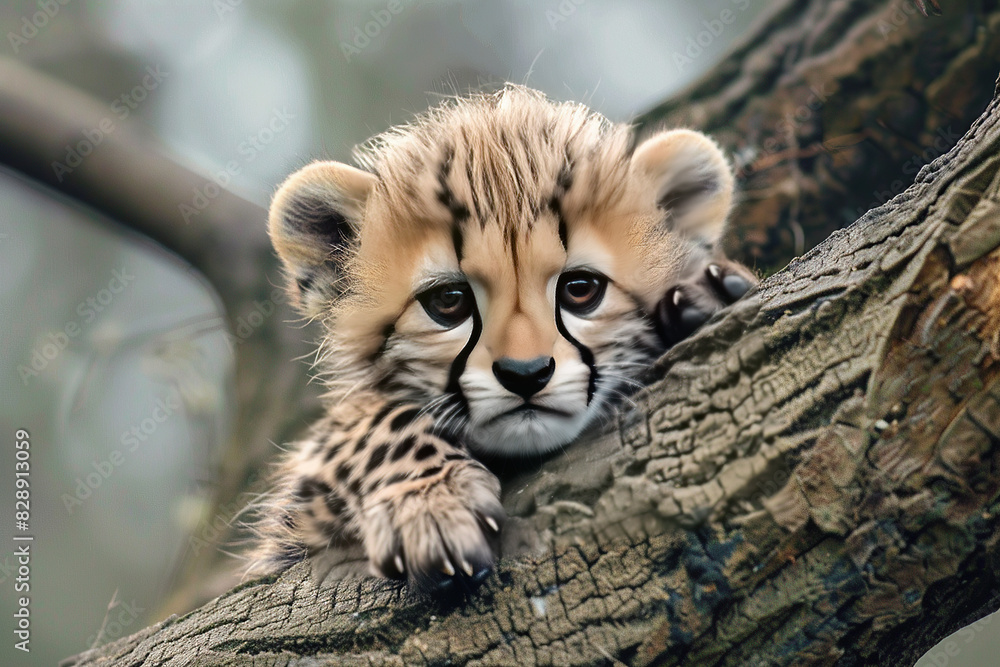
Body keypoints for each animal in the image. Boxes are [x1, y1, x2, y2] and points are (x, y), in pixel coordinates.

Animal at [245, 84, 756, 592]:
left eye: (581, 289)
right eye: (448, 301)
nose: (525, 374)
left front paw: (703, 295)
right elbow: (371, 420)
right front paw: (430, 501)